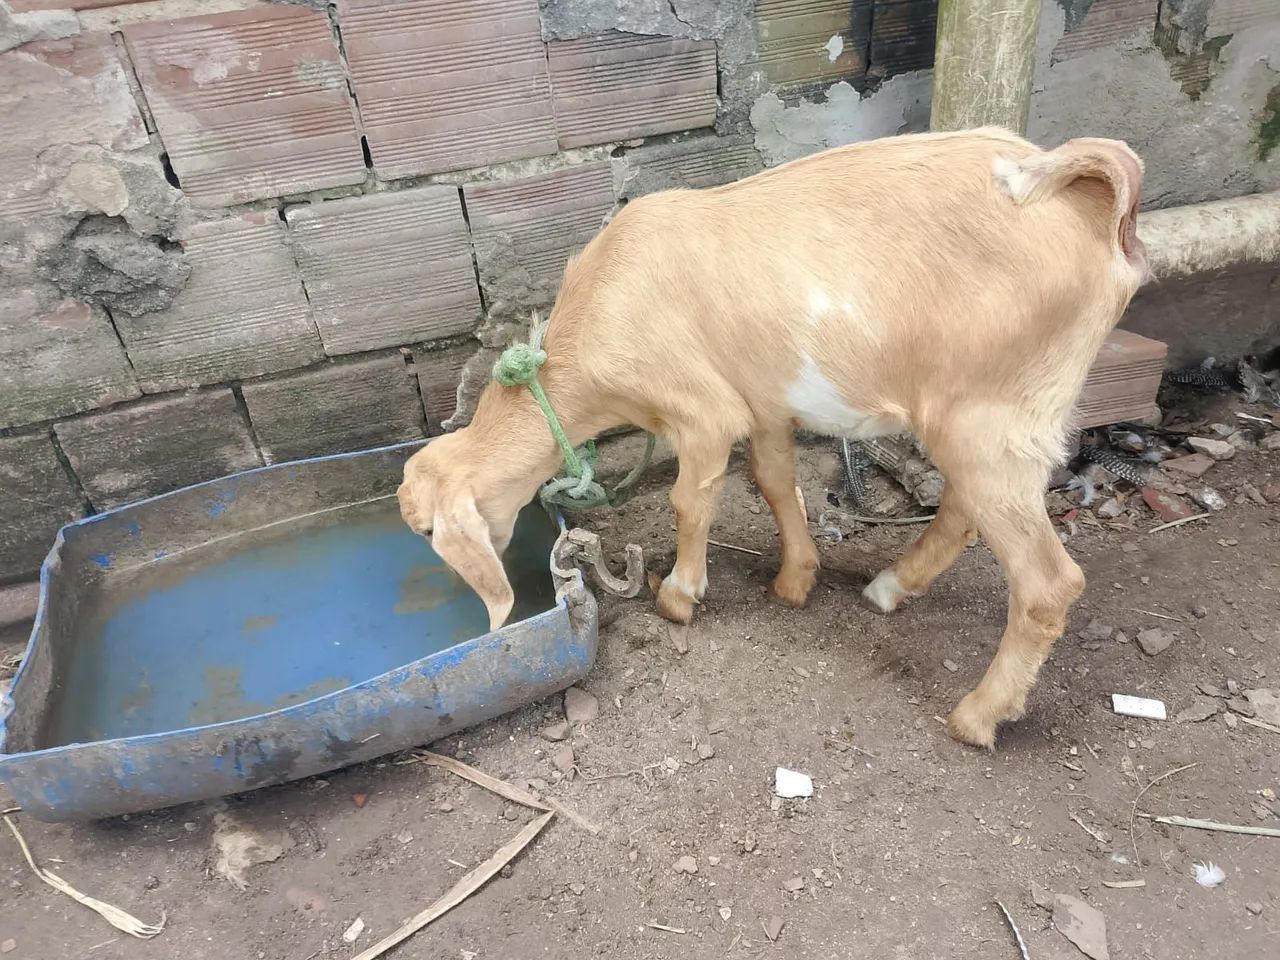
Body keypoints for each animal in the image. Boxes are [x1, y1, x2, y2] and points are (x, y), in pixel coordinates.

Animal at [398, 127, 1148, 749]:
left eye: (430, 531)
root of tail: (1075, 188)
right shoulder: (761, 403)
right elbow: (773, 481)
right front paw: (795, 580)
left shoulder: (704, 411)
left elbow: (689, 502)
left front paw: (680, 595)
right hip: (990, 417)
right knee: (965, 509)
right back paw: (889, 588)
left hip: (991, 413)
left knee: (1046, 581)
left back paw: (978, 715)